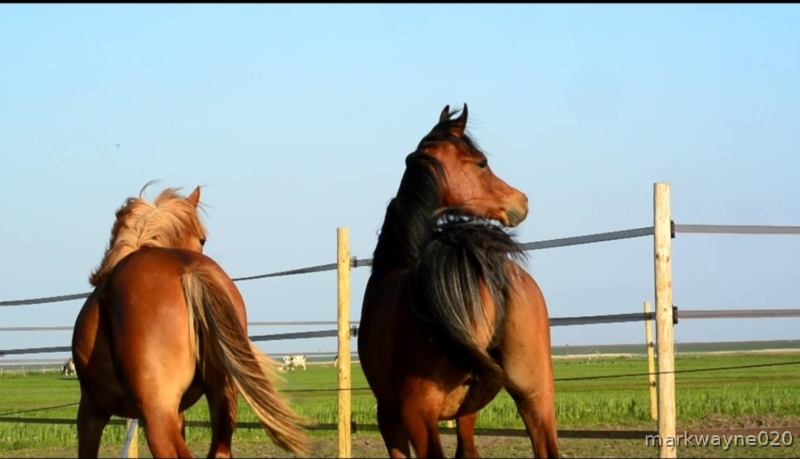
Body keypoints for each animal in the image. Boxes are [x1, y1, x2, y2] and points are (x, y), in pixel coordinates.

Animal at [70, 183, 312, 458]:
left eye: (202, 239)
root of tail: (188, 269)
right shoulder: (180, 411)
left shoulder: (90, 409)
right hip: (222, 394)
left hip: (156, 413)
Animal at [357, 104, 559, 458]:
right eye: (482, 162)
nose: (522, 201)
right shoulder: (466, 416)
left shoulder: (390, 416)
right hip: (537, 395)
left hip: (418, 415)